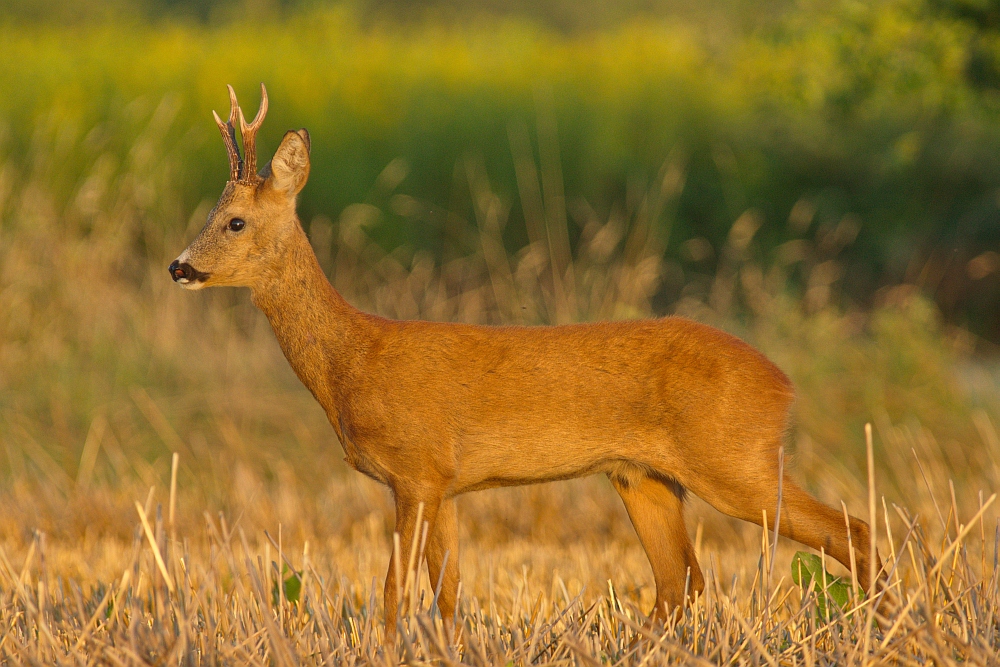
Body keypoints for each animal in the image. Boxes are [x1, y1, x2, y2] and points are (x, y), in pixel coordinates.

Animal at [172, 85, 884, 640]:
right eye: (210, 214)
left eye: (234, 222)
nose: (179, 267)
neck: (353, 358)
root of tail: (783, 383)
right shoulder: (445, 485)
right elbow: (447, 590)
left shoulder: (417, 470)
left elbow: (396, 588)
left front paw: (390, 646)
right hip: (644, 476)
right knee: (680, 579)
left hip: (734, 458)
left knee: (849, 529)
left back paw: (876, 623)